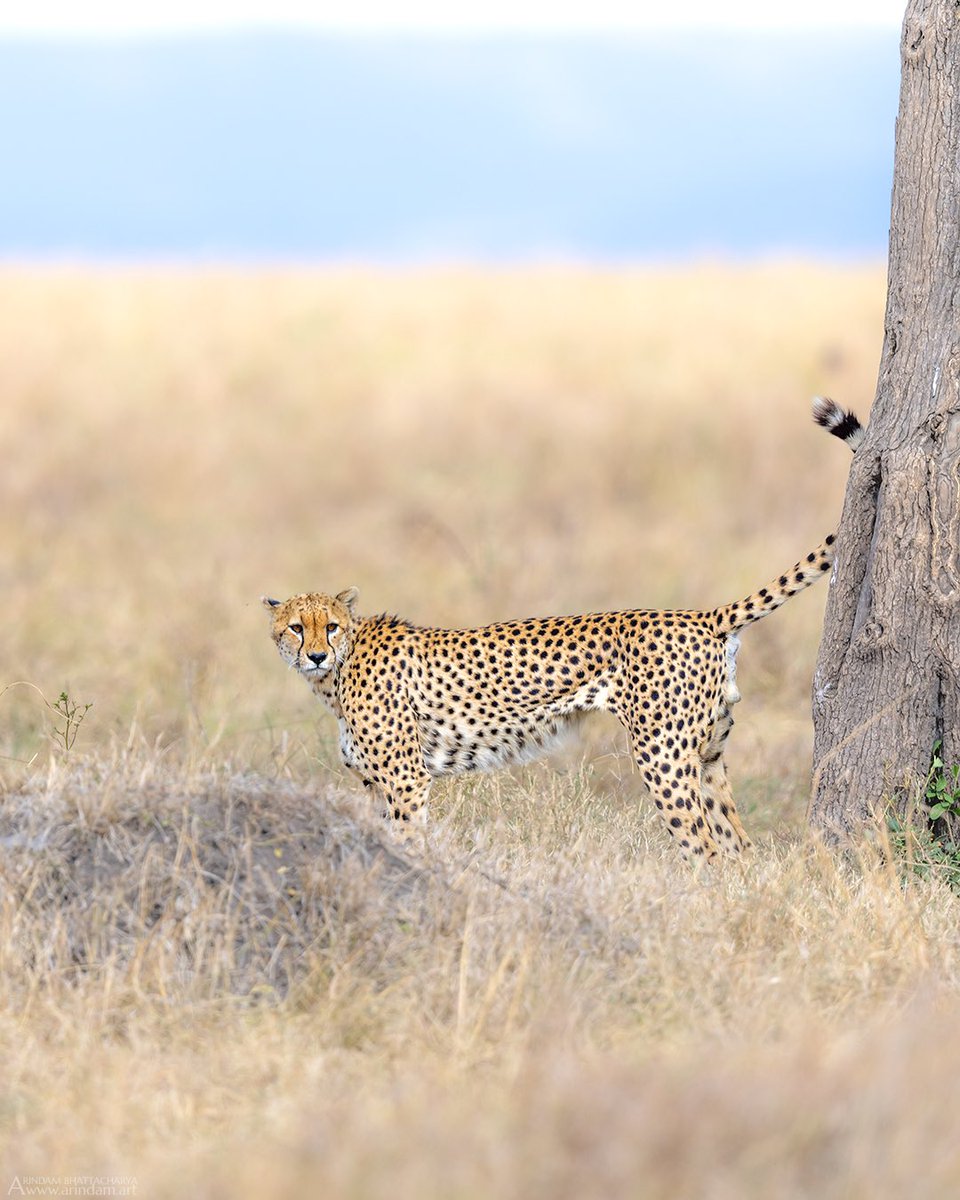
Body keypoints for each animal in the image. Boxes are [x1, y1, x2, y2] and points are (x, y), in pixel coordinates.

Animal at [262, 397, 863, 861]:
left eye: (330, 628)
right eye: (294, 629)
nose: (314, 656)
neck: (335, 676)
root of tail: (698, 615)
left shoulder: (406, 780)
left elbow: (407, 840)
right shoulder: (375, 783)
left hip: (662, 755)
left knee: (705, 848)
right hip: (708, 751)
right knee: (739, 847)